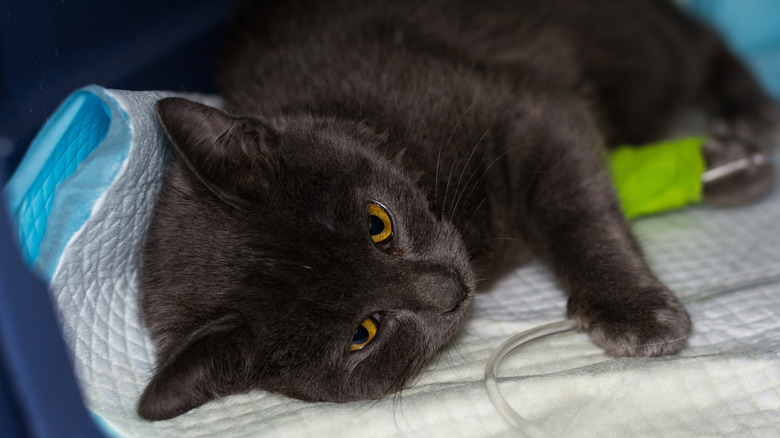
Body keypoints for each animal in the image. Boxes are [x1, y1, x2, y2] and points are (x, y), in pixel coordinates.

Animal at [137, 0, 776, 420]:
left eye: (378, 223)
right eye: (363, 333)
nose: (451, 291)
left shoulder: (527, 110)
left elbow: (576, 210)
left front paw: (633, 311)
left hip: (640, 44)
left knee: (704, 44)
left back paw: (749, 117)